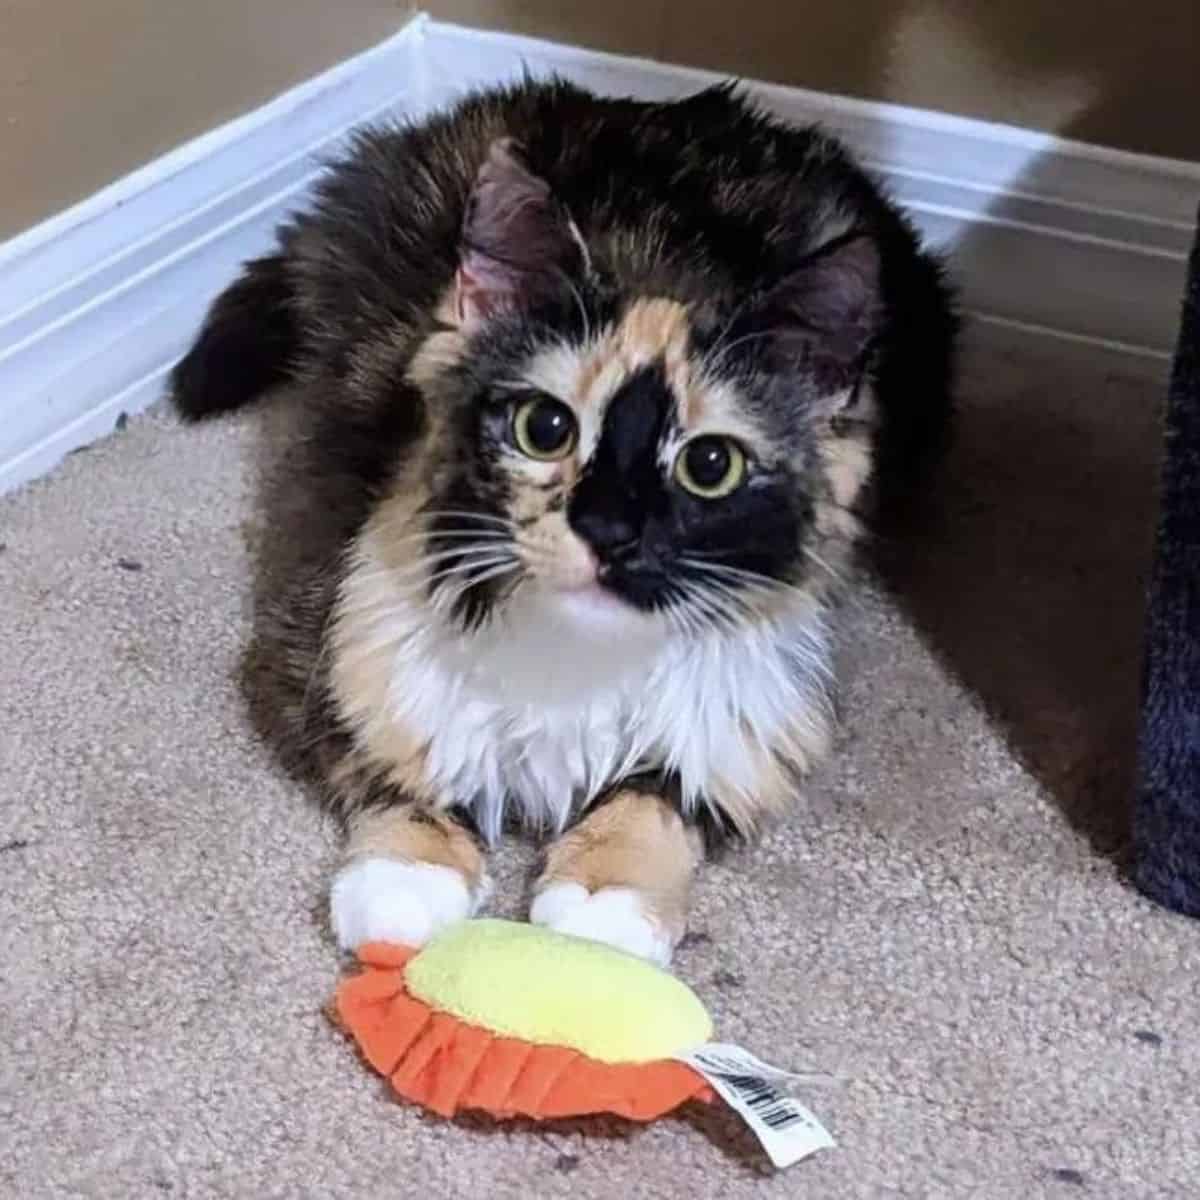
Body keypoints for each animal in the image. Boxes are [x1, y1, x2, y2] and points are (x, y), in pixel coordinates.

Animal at [171, 77, 955, 964]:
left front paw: (603, 902)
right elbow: (397, 767)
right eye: (544, 428)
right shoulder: (322, 631)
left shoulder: (755, 713)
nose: (609, 533)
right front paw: (406, 879)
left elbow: (655, 797)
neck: (575, 650)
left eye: (710, 465)